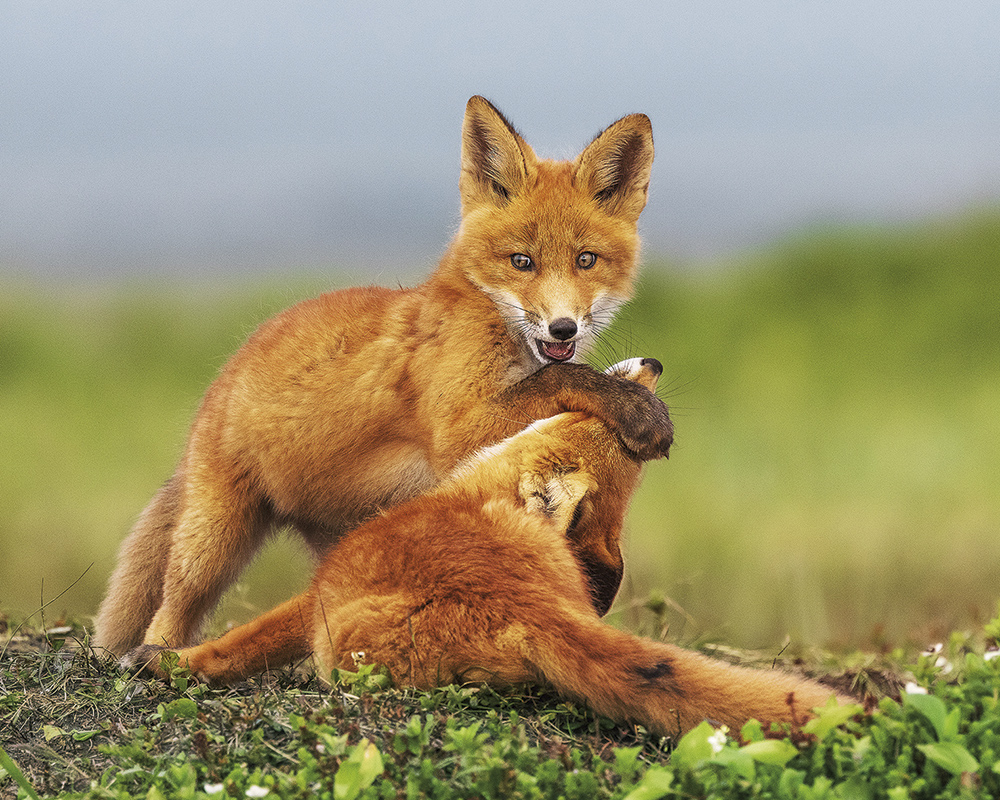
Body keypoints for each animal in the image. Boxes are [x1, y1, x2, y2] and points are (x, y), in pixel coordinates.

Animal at [95, 95, 672, 656]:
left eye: (586, 260)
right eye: (521, 261)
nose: (561, 327)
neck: (489, 319)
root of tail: (224, 373)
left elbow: (559, 382)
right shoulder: (458, 430)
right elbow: (561, 381)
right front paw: (640, 411)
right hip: (213, 539)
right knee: (168, 612)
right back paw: (153, 659)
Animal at [125, 360, 844, 736]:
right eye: (591, 419)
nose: (655, 365)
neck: (469, 497)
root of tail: (525, 602)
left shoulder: (315, 599)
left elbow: (240, 644)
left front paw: (165, 664)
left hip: (351, 645)